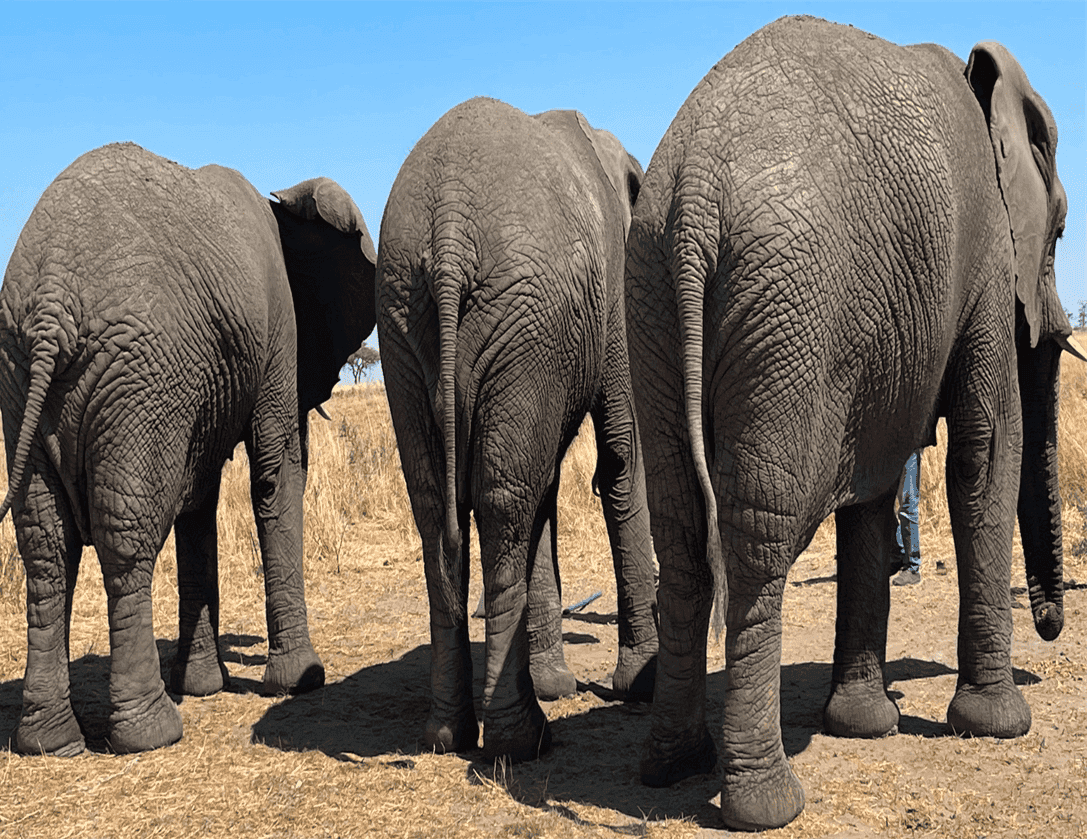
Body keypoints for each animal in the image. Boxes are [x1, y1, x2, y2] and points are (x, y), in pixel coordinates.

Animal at [0, 142, 376, 755]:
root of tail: (52, 300)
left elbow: (199, 499)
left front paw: (203, 685)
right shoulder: (277, 330)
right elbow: (274, 473)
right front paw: (301, 680)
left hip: (25, 376)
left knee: (46, 547)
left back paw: (49, 742)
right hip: (137, 377)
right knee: (125, 539)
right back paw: (151, 733)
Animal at [377, 97, 658, 762]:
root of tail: (448, 232)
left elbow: (547, 482)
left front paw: (556, 682)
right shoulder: (610, 296)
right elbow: (621, 461)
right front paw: (639, 683)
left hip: (409, 322)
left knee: (441, 507)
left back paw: (447, 734)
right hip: (516, 318)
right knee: (505, 504)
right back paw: (521, 740)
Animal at [624, 16, 1085, 832]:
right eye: (1058, 231)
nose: (1052, 623)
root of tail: (692, 195)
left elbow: (871, 484)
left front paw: (863, 725)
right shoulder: (982, 258)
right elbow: (986, 450)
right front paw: (998, 725)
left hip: (650, 298)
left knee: (681, 528)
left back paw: (672, 765)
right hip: (787, 310)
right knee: (758, 530)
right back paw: (765, 802)